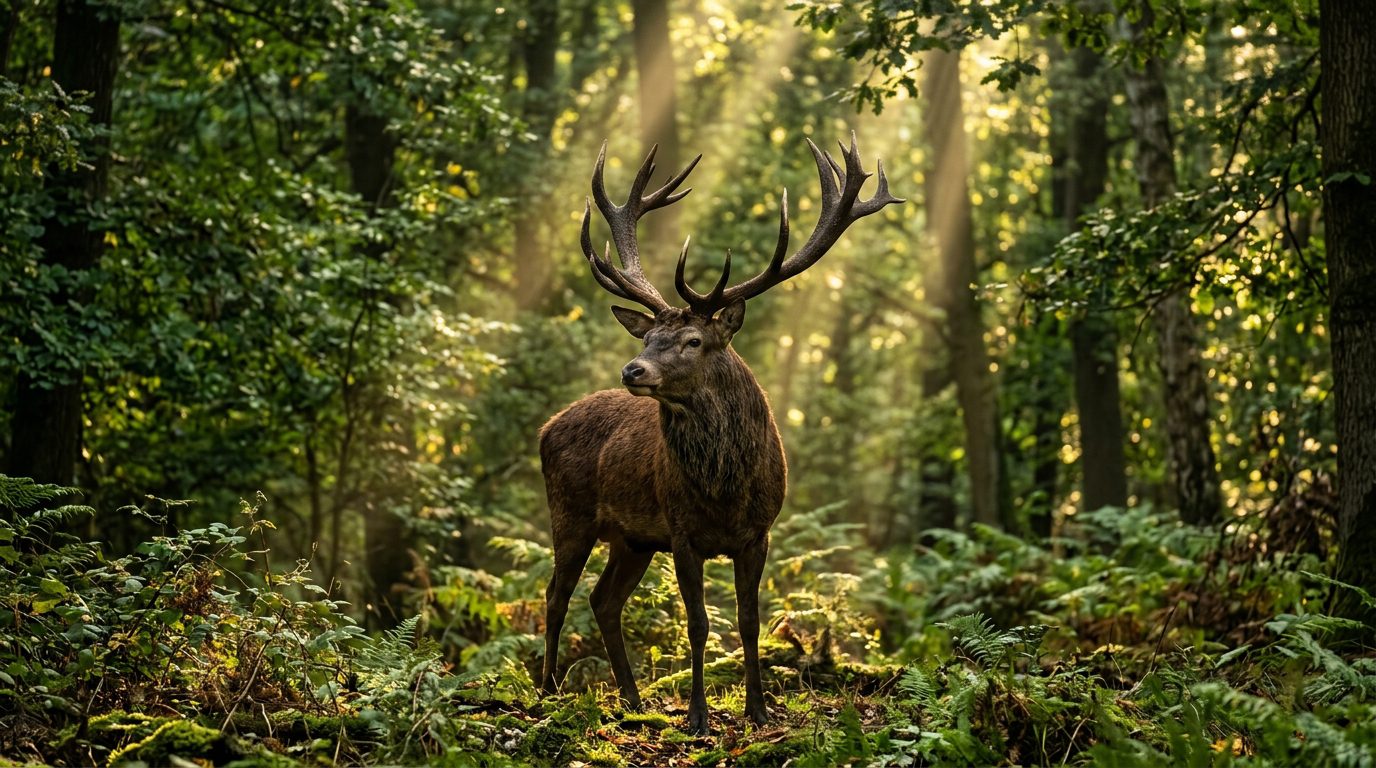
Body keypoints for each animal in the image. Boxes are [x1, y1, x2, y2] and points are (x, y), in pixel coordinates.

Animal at [539, 134, 901, 734]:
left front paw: (757, 708)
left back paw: (632, 699)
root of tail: (546, 428)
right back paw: (546, 692)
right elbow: (700, 624)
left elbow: (749, 621)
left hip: (632, 539)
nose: (633, 370)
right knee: (556, 593)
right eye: (648, 337)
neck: (725, 489)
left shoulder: (759, 533)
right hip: (570, 512)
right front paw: (698, 717)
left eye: (692, 341)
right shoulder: (683, 532)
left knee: (602, 600)